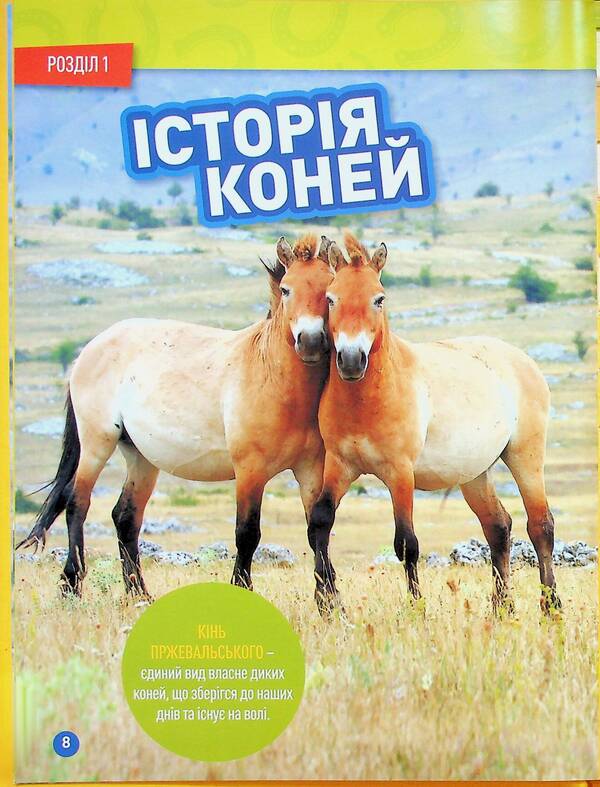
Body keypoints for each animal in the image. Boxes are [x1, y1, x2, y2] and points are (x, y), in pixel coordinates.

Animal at [17, 234, 335, 598]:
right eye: (285, 289)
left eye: (329, 289)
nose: (310, 341)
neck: (271, 377)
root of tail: (90, 348)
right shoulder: (250, 471)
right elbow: (247, 534)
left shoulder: (310, 469)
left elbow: (317, 529)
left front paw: (330, 600)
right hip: (97, 442)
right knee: (76, 503)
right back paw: (71, 585)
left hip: (140, 456)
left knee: (125, 517)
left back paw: (138, 594)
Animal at [308, 232, 560, 616]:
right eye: (331, 298)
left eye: (379, 298)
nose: (351, 360)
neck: (368, 399)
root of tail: (522, 359)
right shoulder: (340, 466)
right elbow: (320, 523)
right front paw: (328, 605)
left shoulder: (400, 474)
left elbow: (406, 543)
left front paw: (416, 609)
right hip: (475, 473)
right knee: (498, 526)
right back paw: (501, 609)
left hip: (525, 456)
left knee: (540, 525)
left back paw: (551, 607)